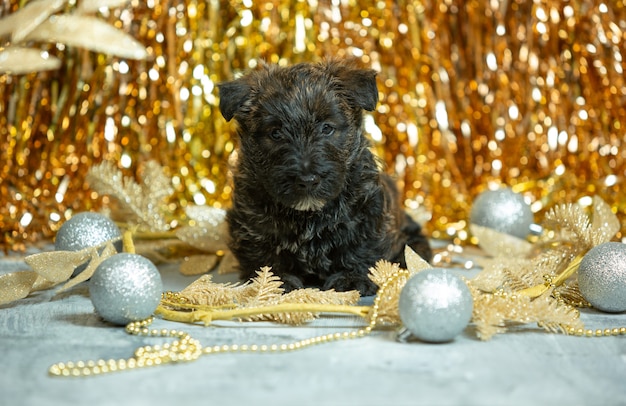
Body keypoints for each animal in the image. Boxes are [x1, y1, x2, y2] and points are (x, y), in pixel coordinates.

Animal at [218, 58, 428, 294]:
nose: (307, 180)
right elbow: (262, 251)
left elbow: (363, 245)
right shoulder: (251, 219)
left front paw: (353, 277)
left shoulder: (367, 210)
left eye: (327, 128)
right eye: (275, 133)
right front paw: (272, 280)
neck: (309, 215)